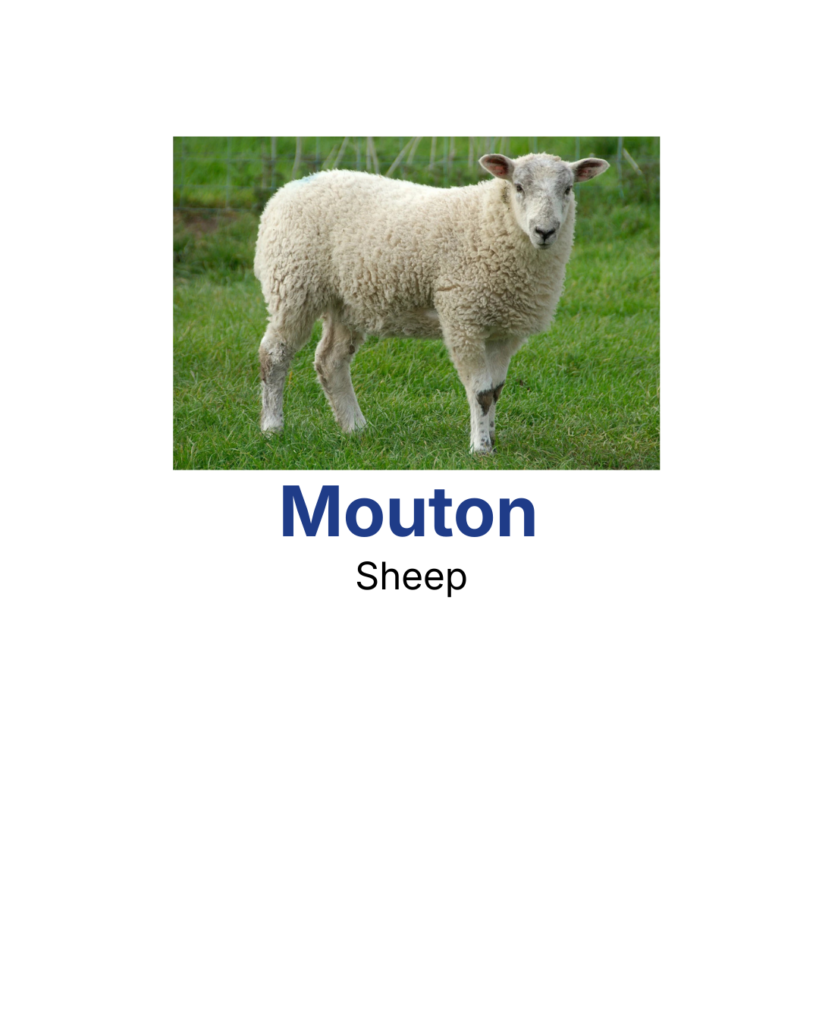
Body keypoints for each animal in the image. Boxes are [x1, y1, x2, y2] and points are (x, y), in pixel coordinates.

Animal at [254, 151, 609, 453]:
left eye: (568, 189)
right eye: (518, 186)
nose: (545, 231)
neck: (490, 223)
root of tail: (285, 191)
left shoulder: (505, 329)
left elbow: (496, 390)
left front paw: (492, 439)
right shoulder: (463, 318)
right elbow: (481, 393)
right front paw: (481, 449)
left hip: (347, 302)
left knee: (330, 361)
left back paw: (356, 428)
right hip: (293, 284)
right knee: (274, 354)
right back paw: (272, 427)